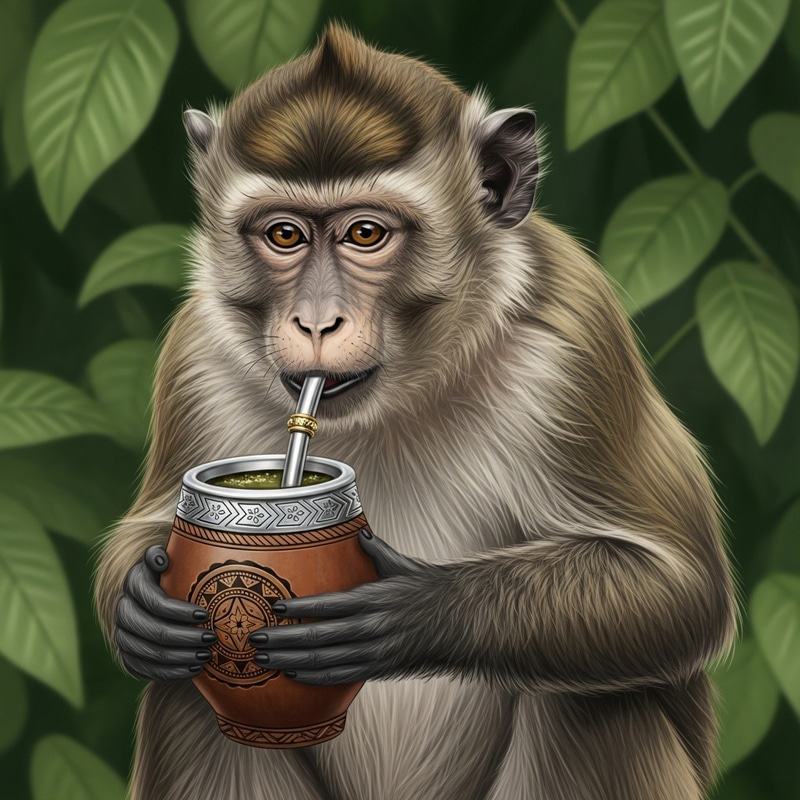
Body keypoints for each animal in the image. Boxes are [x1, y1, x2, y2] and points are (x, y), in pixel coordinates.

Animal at [94, 23, 736, 800]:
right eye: (284, 235)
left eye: (366, 234)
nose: (316, 322)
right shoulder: (195, 354)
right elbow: (161, 531)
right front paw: (143, 606)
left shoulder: (574, 339)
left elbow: (677, 587)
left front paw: (409, 609)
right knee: (184, 693)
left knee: (592, 698)